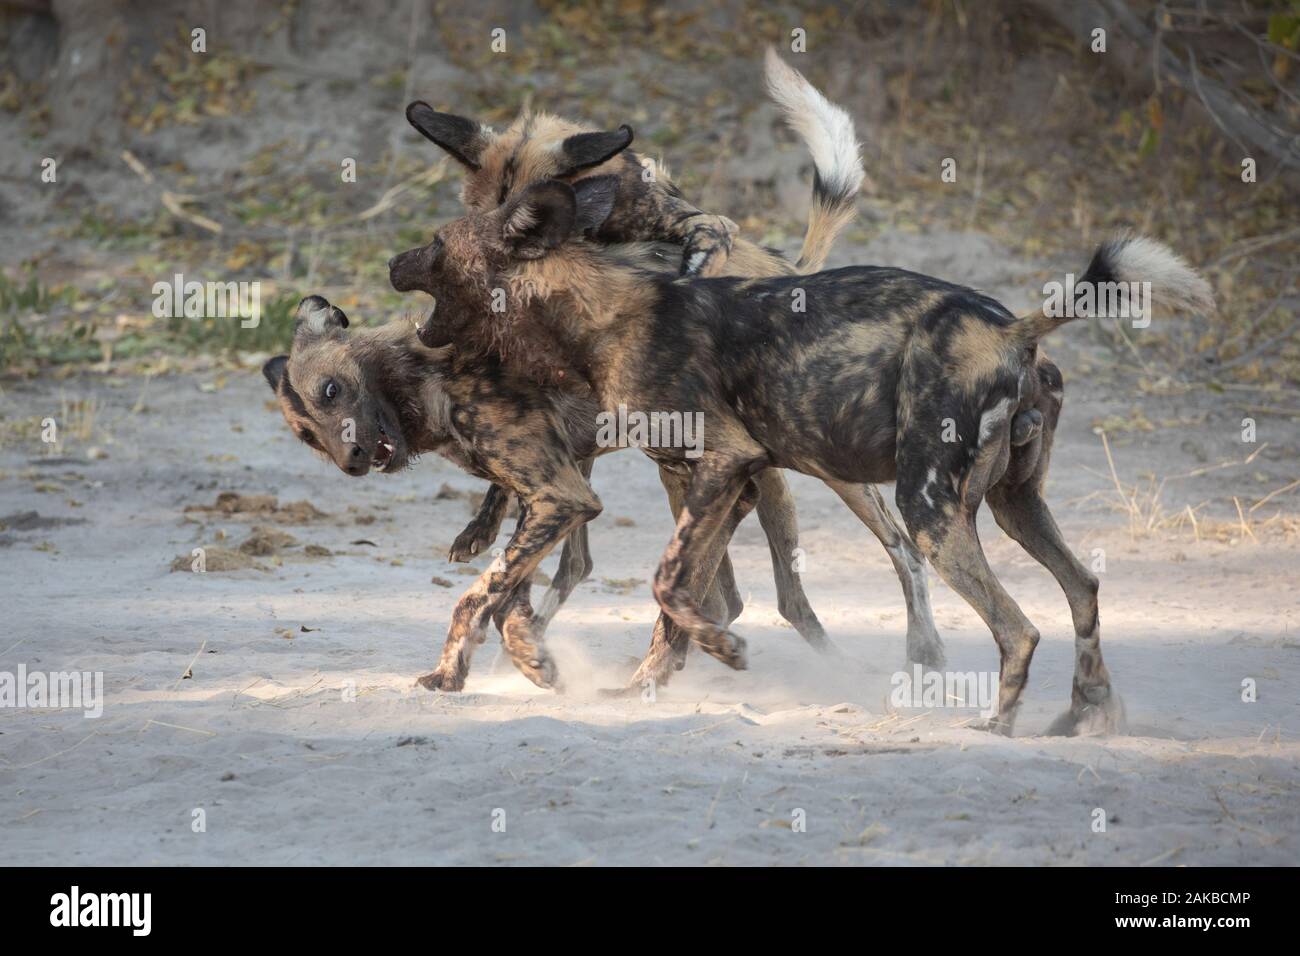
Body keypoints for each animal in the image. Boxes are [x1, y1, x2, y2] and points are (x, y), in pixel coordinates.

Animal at [390, 155, 1211, 733]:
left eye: (435, 242)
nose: (393, 261)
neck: (596, 312)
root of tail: (1012, 327)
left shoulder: (725, 465)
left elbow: (666, 585)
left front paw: (724, 656)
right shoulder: (728, 483)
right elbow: (679, 604)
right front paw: (649, 685)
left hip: (930, 511)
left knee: (1019, 627)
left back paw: (997, 726)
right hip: (1015, 508)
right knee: (1083, 589)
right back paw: (1081, 714)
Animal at [400, 46, 951, 671]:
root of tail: (790, 268)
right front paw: (482, 533)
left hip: (822, 474)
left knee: (885, 558)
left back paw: (910, 648)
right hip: (685, 472)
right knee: (704, 588)